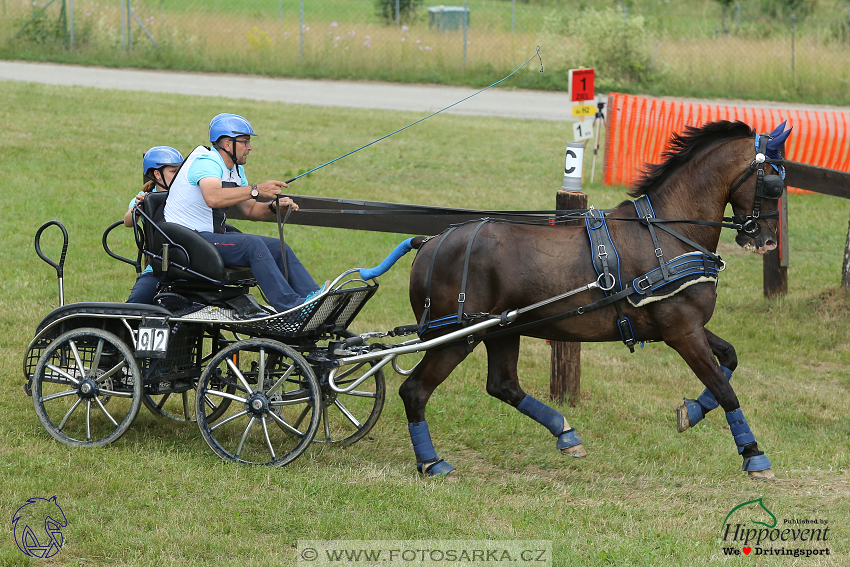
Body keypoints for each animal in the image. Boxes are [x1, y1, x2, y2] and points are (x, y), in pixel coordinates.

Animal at [400, 120, 784, 480]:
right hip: (456, 338)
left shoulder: (685, 327)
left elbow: (729, 358)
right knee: (414, 391)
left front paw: (692, 412)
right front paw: (753, 454)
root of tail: (429, 242)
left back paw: (565, 433)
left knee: (503, 385)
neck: (666, 233)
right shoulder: (682, 332)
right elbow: (724, 389)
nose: (767, 240)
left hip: (501, 330)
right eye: (773, 183)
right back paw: (431, 461)